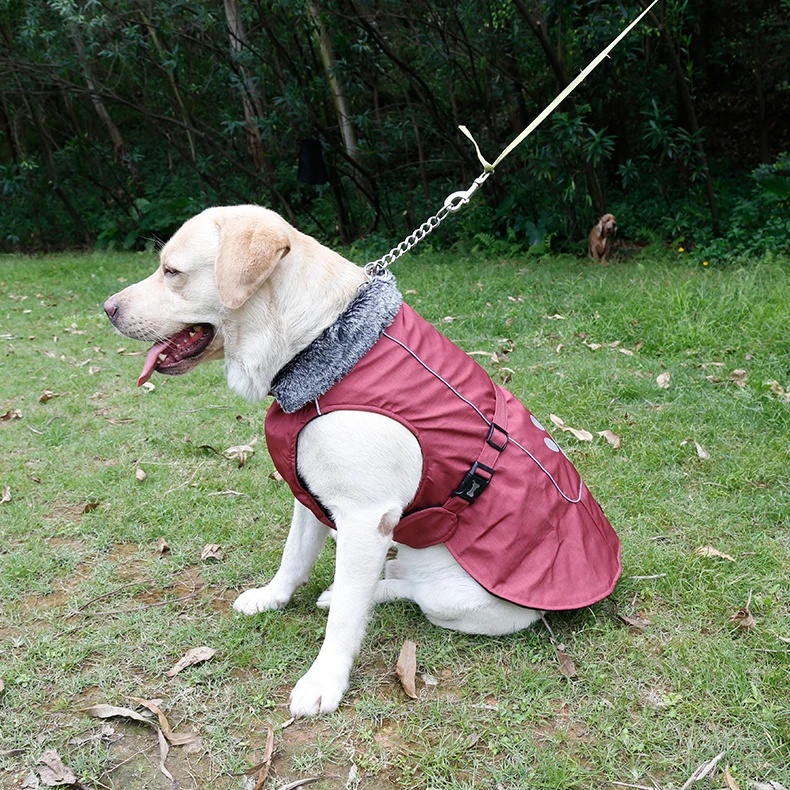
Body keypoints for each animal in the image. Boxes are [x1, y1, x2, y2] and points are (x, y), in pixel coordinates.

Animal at [105, 204, 544, 716]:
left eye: (171, 271)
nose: (108, 308)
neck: (316, 344)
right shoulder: (308, 491)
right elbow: (293, 556)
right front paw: (272, 598)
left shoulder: (366, 518)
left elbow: (346, 621)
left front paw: (324, 680)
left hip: (459, 598)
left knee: (407, 591)